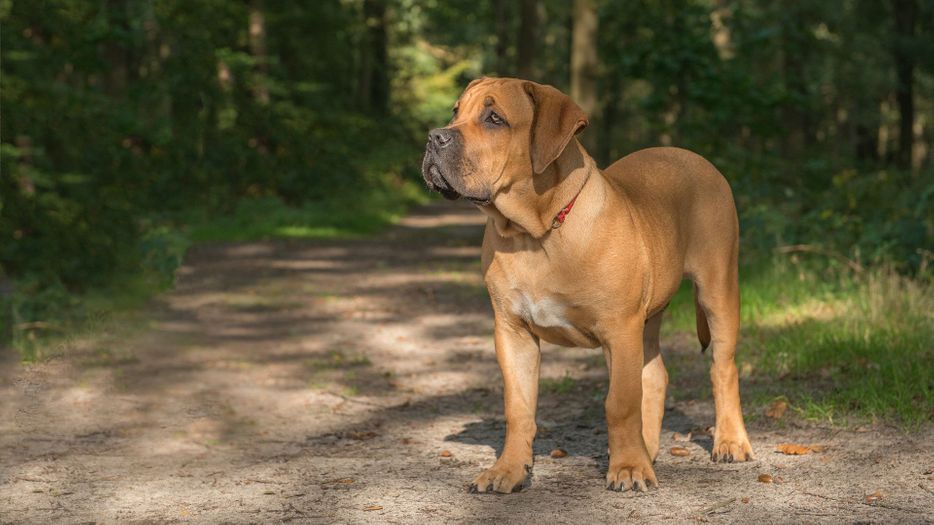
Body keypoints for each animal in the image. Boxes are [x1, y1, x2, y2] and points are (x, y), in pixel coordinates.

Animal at [422, 77, 752, 492]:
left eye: (494, 118)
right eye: (455, 112)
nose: (434, 136)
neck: (535, 233)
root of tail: (695, 158)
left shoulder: (619, 329)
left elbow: (620, 403)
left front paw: (627, 468)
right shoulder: (512, 332)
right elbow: (518, 407)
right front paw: (508, 469)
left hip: (717, 289)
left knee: (723, 368)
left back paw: (729, 442)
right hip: (649, 317)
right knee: (655, 375)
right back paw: (648, 449)